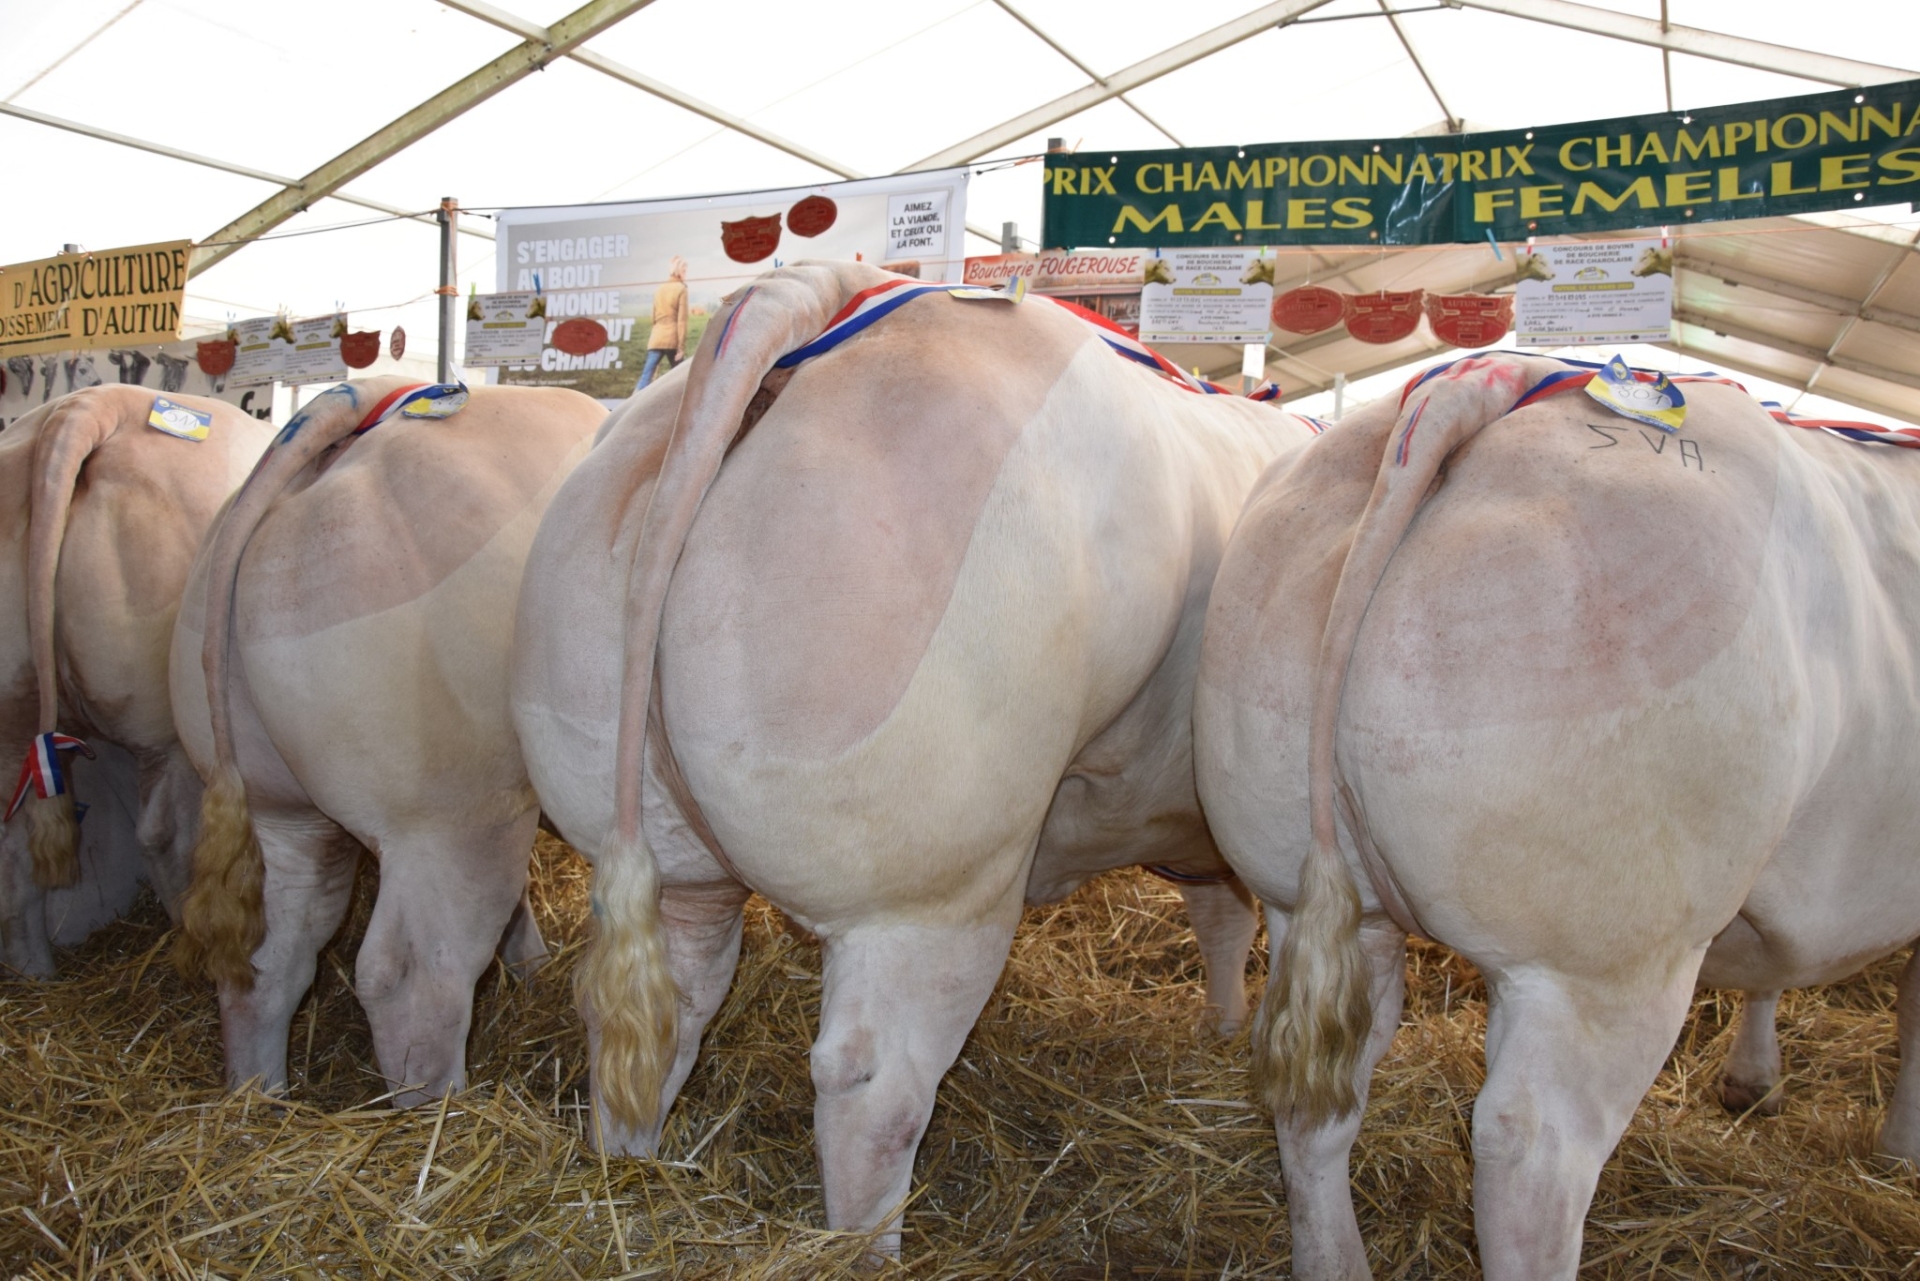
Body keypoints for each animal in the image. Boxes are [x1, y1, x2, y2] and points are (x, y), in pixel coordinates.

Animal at [0, 386, 274, 975]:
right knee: (162, 833)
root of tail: (97, 405)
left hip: (13, 713)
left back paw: (37, 972)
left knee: (13, 847)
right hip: (165, 725)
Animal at [170, 376, 599, 1106]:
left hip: (281, 810)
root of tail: (345, 409)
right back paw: (445, 1111)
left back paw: (261, 1099)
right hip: (453, 815)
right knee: (415, 978)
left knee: (265, 961)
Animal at [510, 261, 1320, 1252]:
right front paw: (1234, 1030)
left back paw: (628, 1172)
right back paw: (869, 1249)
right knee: (872, 1084)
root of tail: (811, 290)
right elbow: (1236, 922)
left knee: (658, 1009)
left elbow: (1219, 916)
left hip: (661, 847)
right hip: (931, 888)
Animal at [1190, 351, 1920, 1281]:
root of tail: (1487, 379)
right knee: (1530, 1153)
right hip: (1603, 959)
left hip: (1311, 891)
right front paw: (1898, 1146)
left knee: (1317, 1094)